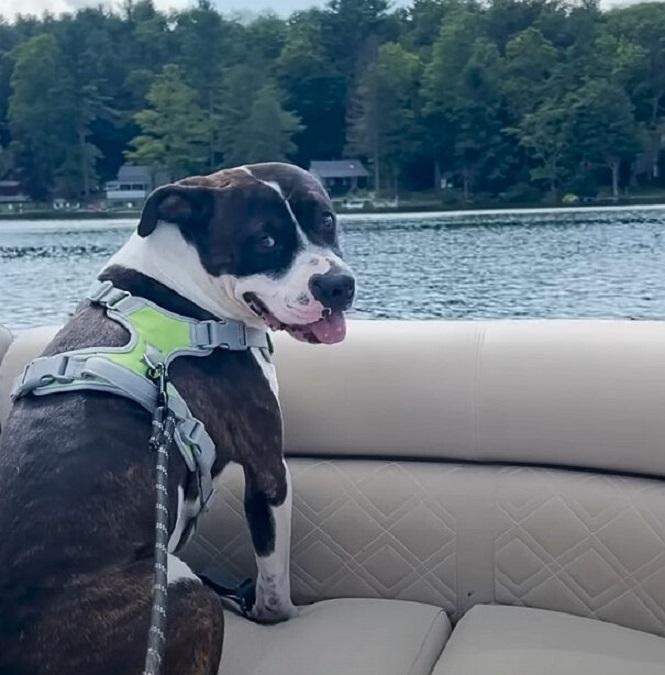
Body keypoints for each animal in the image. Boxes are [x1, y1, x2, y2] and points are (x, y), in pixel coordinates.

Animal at [0, 164, 352, 675]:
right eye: (264, 240)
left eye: (325, 218)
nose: (338, 285)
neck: (182, 289)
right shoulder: (268, 467)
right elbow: (273, 571)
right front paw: (276, 614)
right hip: (182, 591)